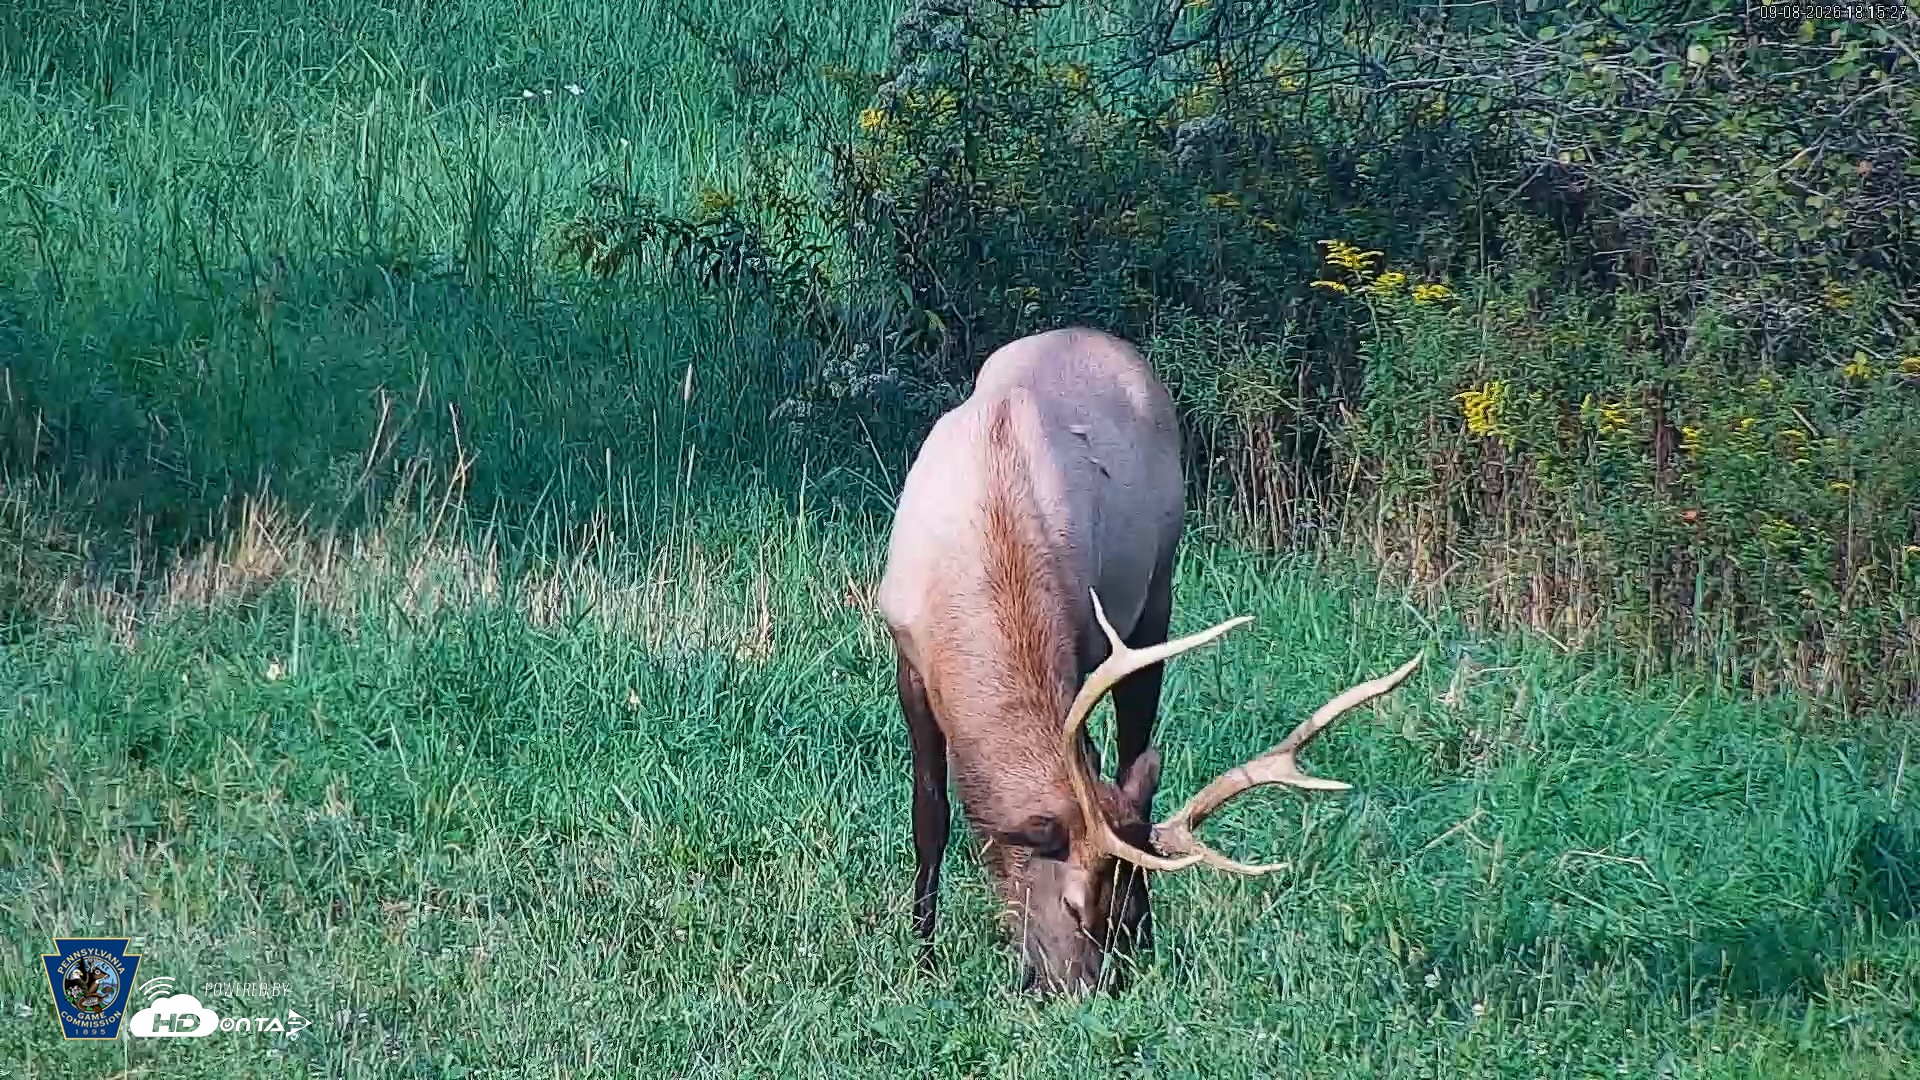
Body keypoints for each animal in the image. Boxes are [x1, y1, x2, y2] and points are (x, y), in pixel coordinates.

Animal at [877, 326, 1422, 993]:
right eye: (1072, 905)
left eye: (1121, 909)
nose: (1084, 993)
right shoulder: (906, 651)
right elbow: (930, 817)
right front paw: (922, 957)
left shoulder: (1083, 642)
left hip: (1158, 591)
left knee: (1134, 753)